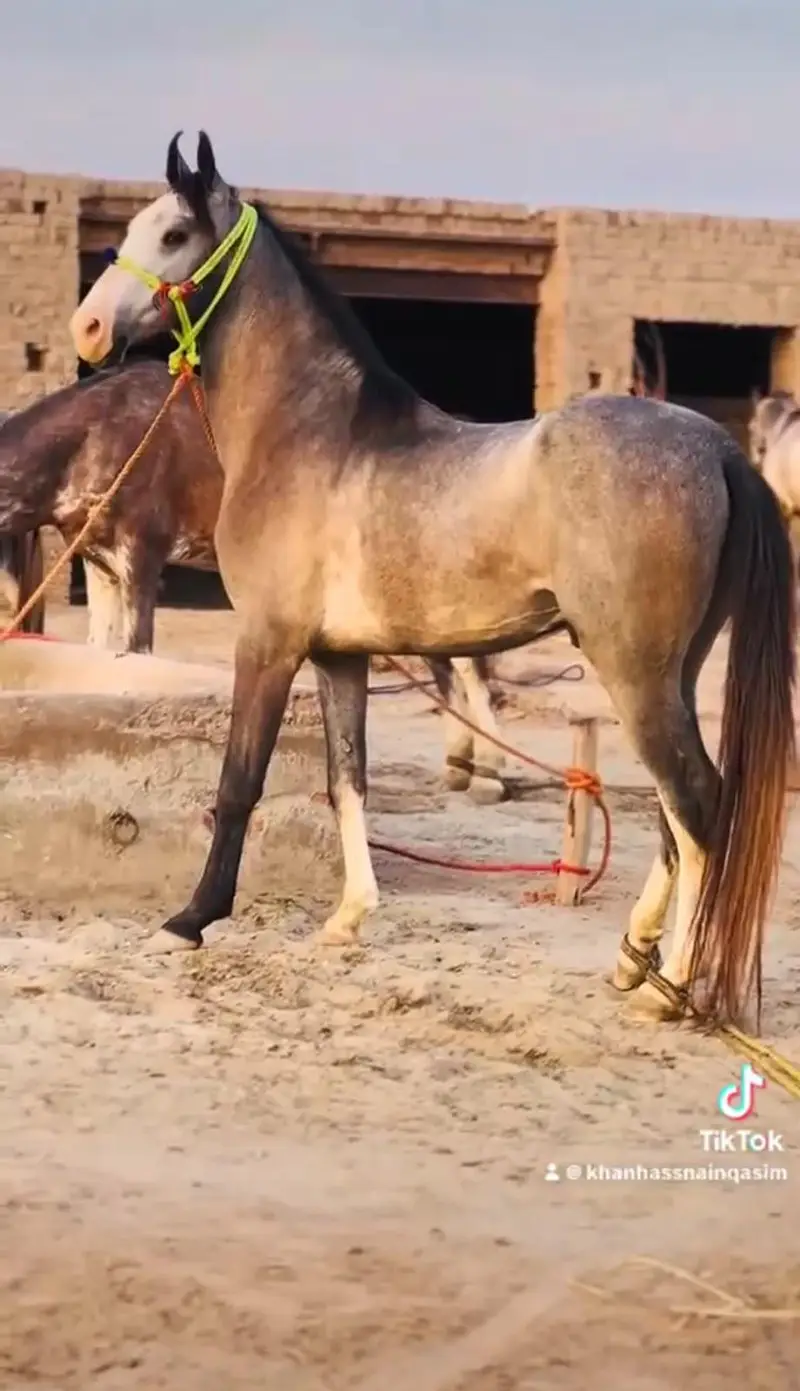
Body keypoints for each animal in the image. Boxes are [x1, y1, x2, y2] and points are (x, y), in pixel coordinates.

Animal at [0, 361, 509, 801]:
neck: (94, 436)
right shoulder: (98, 562)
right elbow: (102, 653)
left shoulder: (142, 553)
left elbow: (138, 652)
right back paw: (460, 766)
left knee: (466, 661)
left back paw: (490, 776)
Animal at [68, 130, 796, 1028]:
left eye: (173, 234)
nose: (87, 327)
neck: (308, 433)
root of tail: (719, 450)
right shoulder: (339, 657)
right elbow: (347, 780)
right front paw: (347, 918)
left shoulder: (268, 644)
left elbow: (239, 782)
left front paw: (190, 919)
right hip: (672, 675)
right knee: (674, 817)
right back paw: (634, 963)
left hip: (638, 677)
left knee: (699, 811)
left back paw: (674, 989)